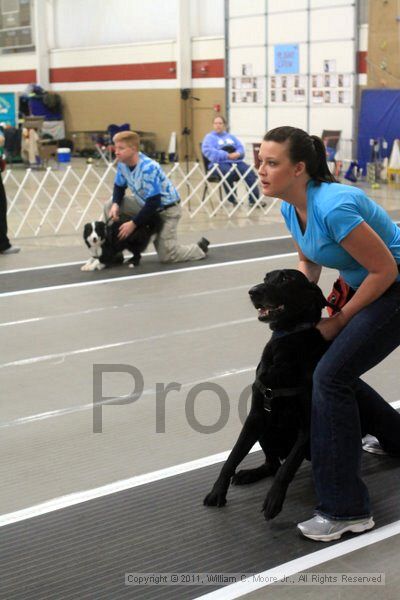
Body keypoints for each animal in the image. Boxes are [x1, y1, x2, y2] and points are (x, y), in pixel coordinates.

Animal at [205, 270, 336, 520]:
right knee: (272, 464)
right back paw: (249, 474)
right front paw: (217, 491)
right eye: (265, 278)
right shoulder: (255, 417)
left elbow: (288, 467)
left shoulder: (308, 425)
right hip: (266, 432)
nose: (253, 291)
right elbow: (233, 456)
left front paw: (274, 499)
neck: (286, 340)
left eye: (286, 279)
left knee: (287, 464)